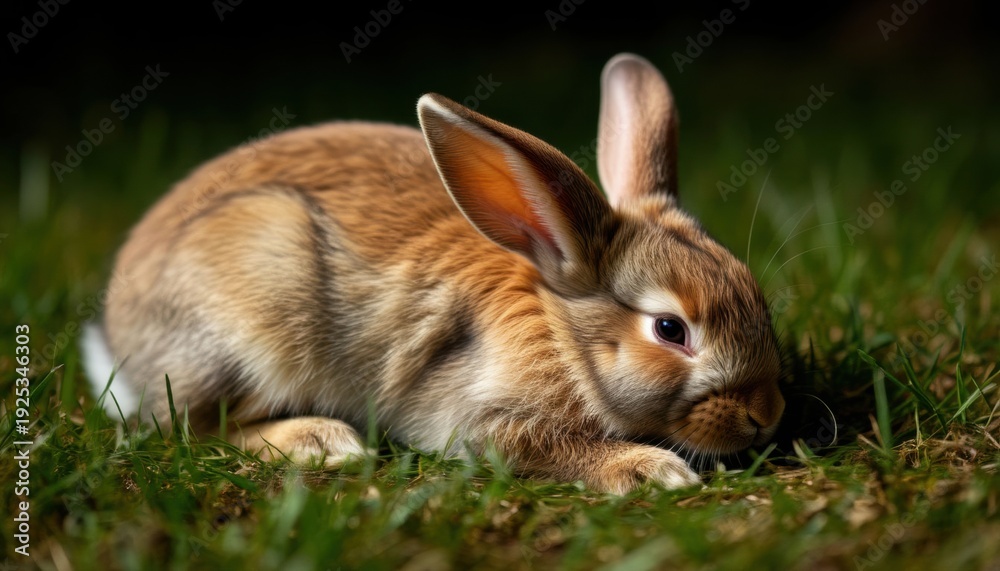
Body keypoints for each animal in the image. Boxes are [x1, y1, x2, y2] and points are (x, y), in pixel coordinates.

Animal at [83, 53, 785, 494]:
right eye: (670, 330)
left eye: (759, 298)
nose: (767, 414)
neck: (561, 337)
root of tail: (118, 342)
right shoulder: (481, 419)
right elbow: (548, 447)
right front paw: (652, 471)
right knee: (196, 427)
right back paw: (321, 440)